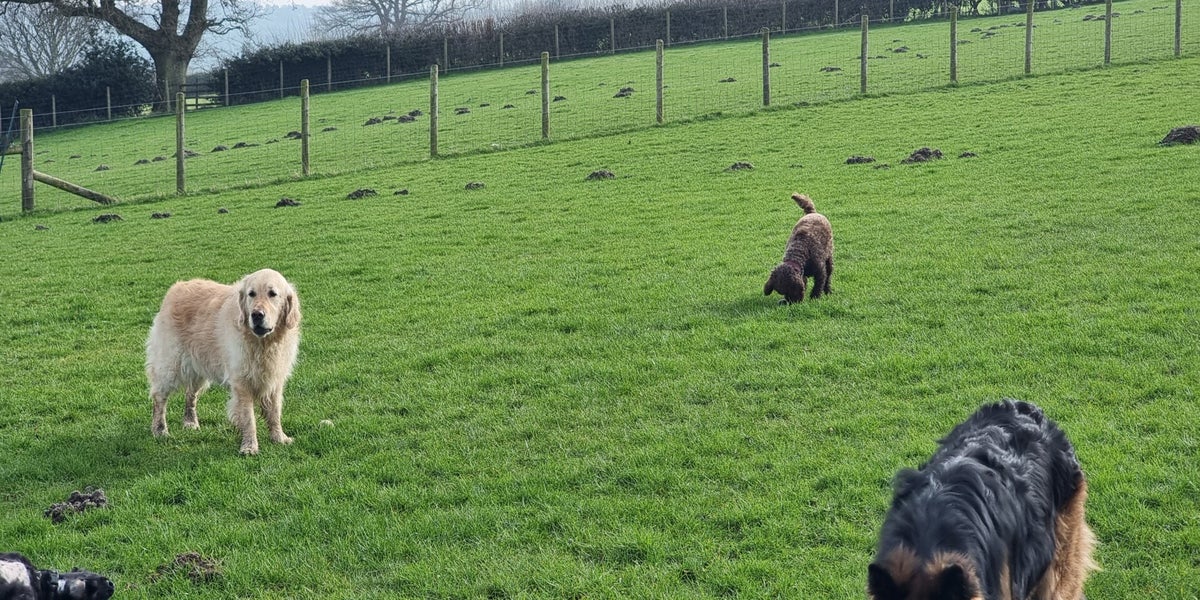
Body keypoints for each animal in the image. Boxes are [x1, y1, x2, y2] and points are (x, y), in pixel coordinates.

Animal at [146, 269, 301, 455]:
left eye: (273, 294)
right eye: (251, 294)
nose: (256, 315)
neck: (262, 343)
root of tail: (177, 286)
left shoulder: (275, 380)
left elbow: (274, 413)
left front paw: (279, 438)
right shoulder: (241, 382)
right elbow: (249, 418)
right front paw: (249, 447)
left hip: (197, 367)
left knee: (190, 394)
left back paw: (190, 422)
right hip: (170, 365)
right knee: (159, 397)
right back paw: (160, 430)